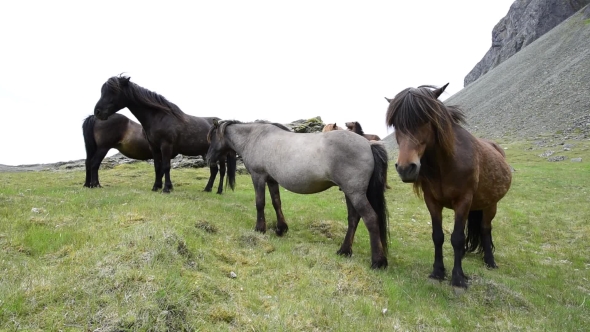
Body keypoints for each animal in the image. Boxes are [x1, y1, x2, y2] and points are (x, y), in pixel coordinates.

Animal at [93, 75, 237, 193]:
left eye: (114, 91)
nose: (98, 112)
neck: (159, 117)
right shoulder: (154, 148)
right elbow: (158, 167)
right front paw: (156, 187)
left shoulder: (166, 146)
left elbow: (166, 166)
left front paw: (166, 188)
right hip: (206, 153)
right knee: (214, 170)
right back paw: (207, 189)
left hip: (220, 155)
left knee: (222, 171)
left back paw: (219, 191)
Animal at [206, 120, 390, 268]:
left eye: (213, 137)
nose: (208, 159)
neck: (255, 137)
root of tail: (369, 145)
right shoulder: (271, 180)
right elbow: (276, 202)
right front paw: (281, 228)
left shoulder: (258, 177)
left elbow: (260, 203)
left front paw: (260, 228)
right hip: (349, 192)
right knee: (353, 218)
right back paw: (344, 251)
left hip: (355, 193)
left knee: (370, 219)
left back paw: (378, 262)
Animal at [386, 83, 512, 288]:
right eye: (396, 125)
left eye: (425, 120)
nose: (405, 168)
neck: (446, 164)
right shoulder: (432, 202)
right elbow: (438, 236)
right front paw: (438, 272)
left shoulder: (463, 201)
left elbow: (457, 238)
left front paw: (458, 277)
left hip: (490, 205)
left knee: (485, 229)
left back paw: (490, 261)